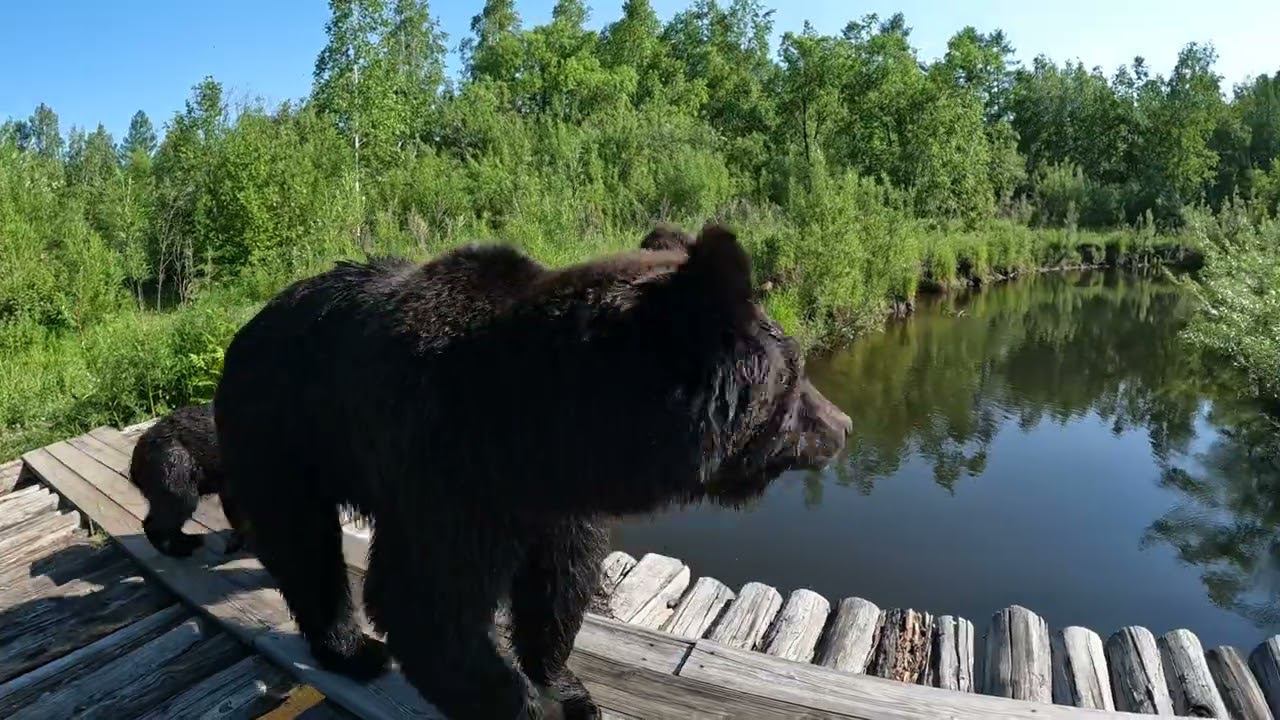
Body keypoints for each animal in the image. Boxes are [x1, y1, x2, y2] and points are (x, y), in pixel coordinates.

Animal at [212, 224, 849, 717]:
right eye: (795, 374)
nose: (842, 426)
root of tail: (245, 327)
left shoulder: (555, 500)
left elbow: (559, 587)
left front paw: (567, 689)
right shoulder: (449, 472)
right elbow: (427, 604)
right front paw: (524, 703)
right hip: (284, 430)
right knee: (303, 542)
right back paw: (350, 648)